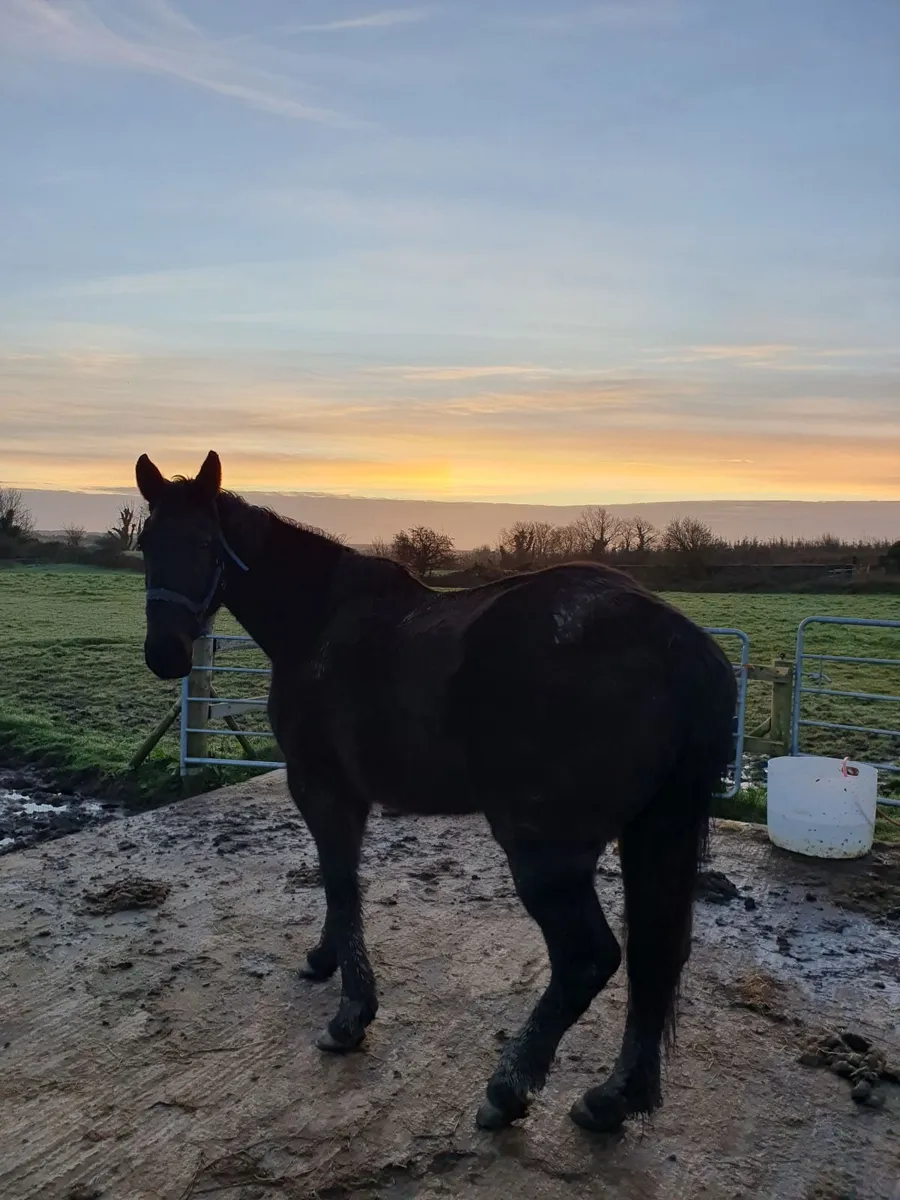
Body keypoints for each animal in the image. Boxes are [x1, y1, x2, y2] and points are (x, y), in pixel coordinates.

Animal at [136, 450, 737, 1135]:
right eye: (145, 541)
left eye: (207, 543)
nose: (165, 654)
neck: (318, 622)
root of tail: (683, 648)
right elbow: (339, 884)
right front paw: (324, 958)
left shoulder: (321, 787)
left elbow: (341, 884)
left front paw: (351, 1015)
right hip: (653, 833)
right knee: (656, 955)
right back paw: (614, 1097)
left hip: (547, 853)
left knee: (588, 959)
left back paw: (509, 1087)